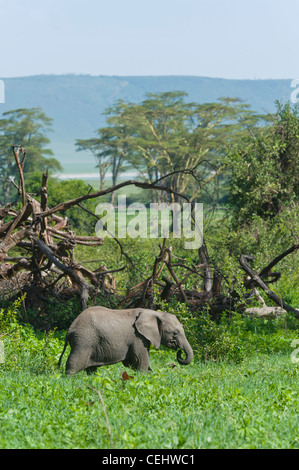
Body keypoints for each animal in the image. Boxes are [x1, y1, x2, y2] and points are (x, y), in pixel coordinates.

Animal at [58, 304, 195, 374]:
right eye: (175, 333)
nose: (179, 352)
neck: (155, 313)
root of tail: (70, 328)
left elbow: (131, 362)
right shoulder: (138, 337)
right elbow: (139, 359)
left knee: (91, 368)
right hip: (84, 339)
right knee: (74, 361)